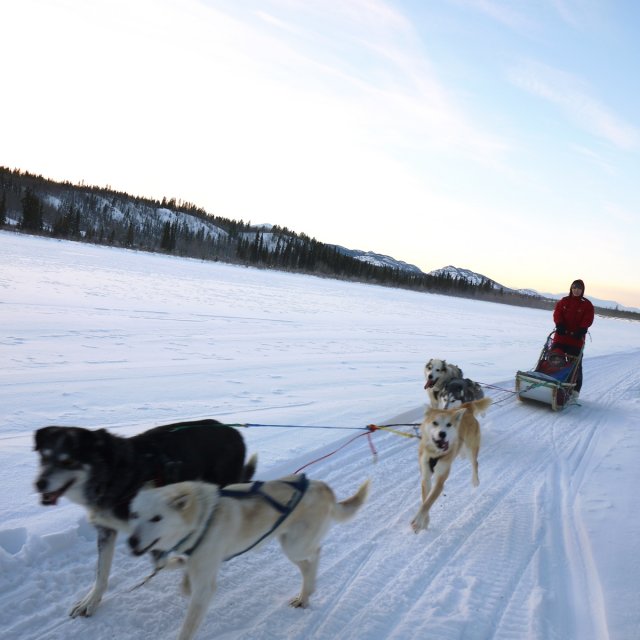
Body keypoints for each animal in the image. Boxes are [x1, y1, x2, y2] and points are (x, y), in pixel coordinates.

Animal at [34, 420, 255, 620]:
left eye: (68, 461)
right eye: (44, 457)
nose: (39, 484)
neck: (112, 475)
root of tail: (234, 432)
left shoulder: (155, 530)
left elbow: (162, 560)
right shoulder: (108, 531)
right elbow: (101, 573)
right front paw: (91, 601)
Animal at [127, 476, 368, 640]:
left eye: (157, 518)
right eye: (135, 515)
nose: (131, 542)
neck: (204, 516)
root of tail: (323, 487)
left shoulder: (205, 587)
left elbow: (188, 626)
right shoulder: (194, 560)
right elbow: (179, 569)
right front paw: (173, 570)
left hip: (295, 546)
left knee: (316, 553)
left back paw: (308, 591)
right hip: (288, 546)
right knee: (307, 565)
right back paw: (304, 596)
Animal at [410, 398, 490, 532]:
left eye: (449, 424)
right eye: (435, 423)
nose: (442, 434)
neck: (435, 453)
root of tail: (467, 409)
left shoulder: (440, 481)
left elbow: (428, 502)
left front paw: (418, 520)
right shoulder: (426, 477)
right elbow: (425, 499)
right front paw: (425, 522)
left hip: (471, 448)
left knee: (475, 463)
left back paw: (475, 480)